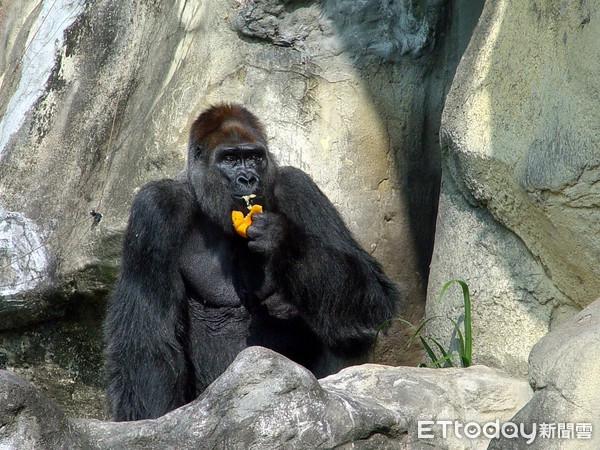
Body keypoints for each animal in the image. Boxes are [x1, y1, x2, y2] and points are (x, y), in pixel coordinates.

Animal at [105, 103, 400, 422]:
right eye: (230, 159)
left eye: (255, 157)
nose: (248, 179)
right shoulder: (156, 208)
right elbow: (149, 339)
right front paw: (154, 418)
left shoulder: (298, 188)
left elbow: (373, 294)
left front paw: (280, 240)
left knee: (345, 322)